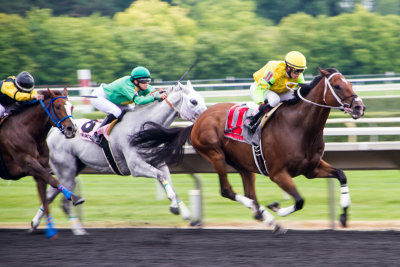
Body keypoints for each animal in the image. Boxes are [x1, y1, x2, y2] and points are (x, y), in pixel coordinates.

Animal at [0, 88, 83, 239]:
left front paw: (50, 229)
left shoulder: (39, 168)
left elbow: (44, 195)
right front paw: (74, 197)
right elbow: (53, 181)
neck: (28, 131)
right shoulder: (28, 162)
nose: (71, 129)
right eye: (58, 107)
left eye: (72, 106)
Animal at [31, 81, 206, 234]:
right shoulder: (135, 166)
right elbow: (160, 176)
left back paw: (34, 224)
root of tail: (55, 131)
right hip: (66, 170)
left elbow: (167, 180)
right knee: (63, 201)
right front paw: (175, 206)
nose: (205, 117)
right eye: (194, 101)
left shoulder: (157, 161)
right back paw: (78, 230)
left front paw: (184, 212)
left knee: (50, 195)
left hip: (71, 170)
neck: (141, 128)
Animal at [130, 68, 366, 234]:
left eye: (350, 83)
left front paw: (344, 215)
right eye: (337, 86)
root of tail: (198, 120)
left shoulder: (312, 168)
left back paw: (266, 218)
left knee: (250, 194)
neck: (299, 127)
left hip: (244, 164)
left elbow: (342, 175)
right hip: (215, 154)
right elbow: (299, 200)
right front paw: (276, 207)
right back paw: (263, 213)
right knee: (228, 191)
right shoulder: (278, 173)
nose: (359, 107)